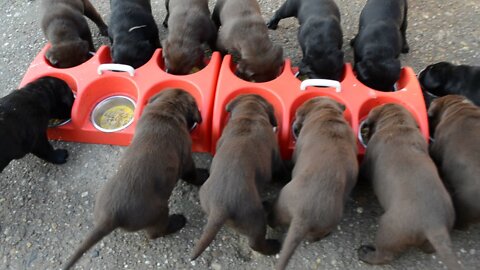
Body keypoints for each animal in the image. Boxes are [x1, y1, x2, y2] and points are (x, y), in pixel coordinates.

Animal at [62, 89, 202, 268]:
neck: (166, 110)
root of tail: (111, 216)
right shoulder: (186, 160)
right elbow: (192, 174)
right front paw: (204, 176)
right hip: (159, 211)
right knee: (156, 232)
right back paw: (178, 221)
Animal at [189, 94, 284, 260]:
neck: (249, 114)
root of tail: (220, 207)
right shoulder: (276, 157)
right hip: (255, 220)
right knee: (256, 243)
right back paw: (273, 246)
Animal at [360, 103, 462, 270]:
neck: (397, 124)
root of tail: (434, 225)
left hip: (389, 229)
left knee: (385, 255)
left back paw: (365, 254)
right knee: (428, 248)